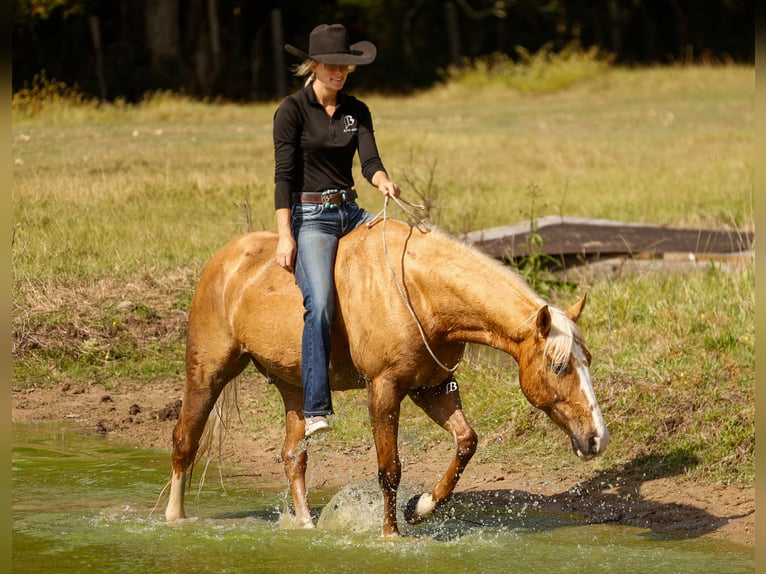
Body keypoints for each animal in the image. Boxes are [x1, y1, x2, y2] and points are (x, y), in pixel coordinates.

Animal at [164, 218, 610, 537]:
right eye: (559, 366)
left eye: (587, 360)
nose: (597, 438)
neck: (418, 292)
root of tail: (223, 262)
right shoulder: (383, 389)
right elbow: (389, 468)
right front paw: (390, 534)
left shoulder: (431, 388)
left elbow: (466, 442)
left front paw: (420, 508)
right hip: (208, 370)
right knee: (186, 440)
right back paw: (175, 518)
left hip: (293, 387)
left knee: (294, 457)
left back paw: (306, 526)